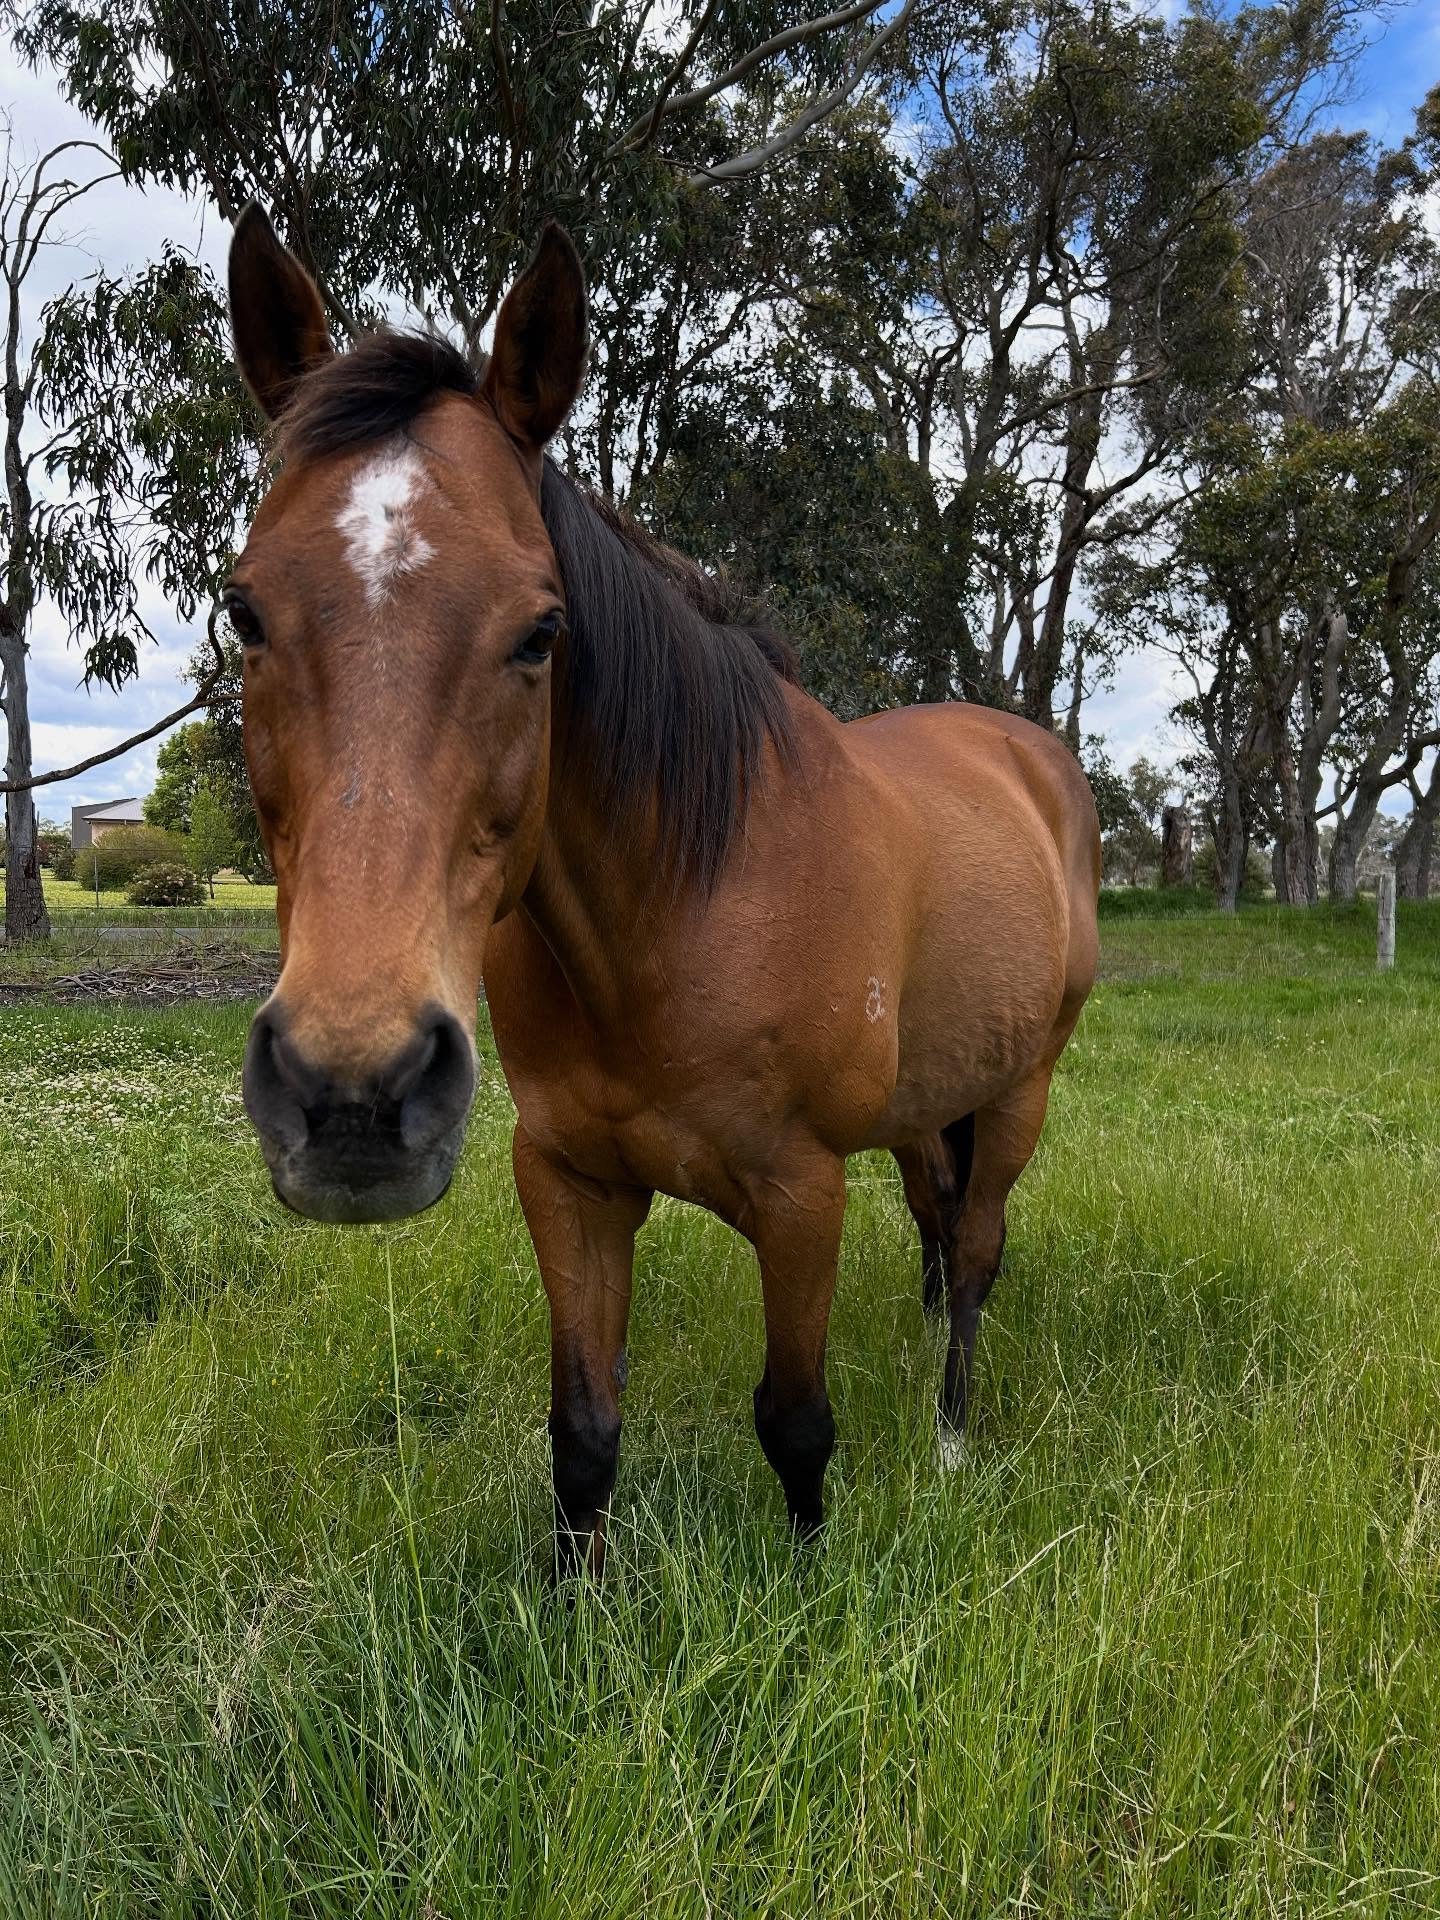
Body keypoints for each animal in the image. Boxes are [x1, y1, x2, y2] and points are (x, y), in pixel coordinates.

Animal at [225, 205, 1100, 1567]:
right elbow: (583, 1435)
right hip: (930, 1103)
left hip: (1021, 1090)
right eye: (244, 611)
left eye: (541, 631)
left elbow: (795, 1424)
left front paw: (810, 1589)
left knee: (975, 1254)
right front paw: (575, 1603)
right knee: (939, 1224)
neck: (675, 913)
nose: (351, 1095)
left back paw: (953, 1436)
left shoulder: (800, 1193)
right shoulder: (569, 1184)